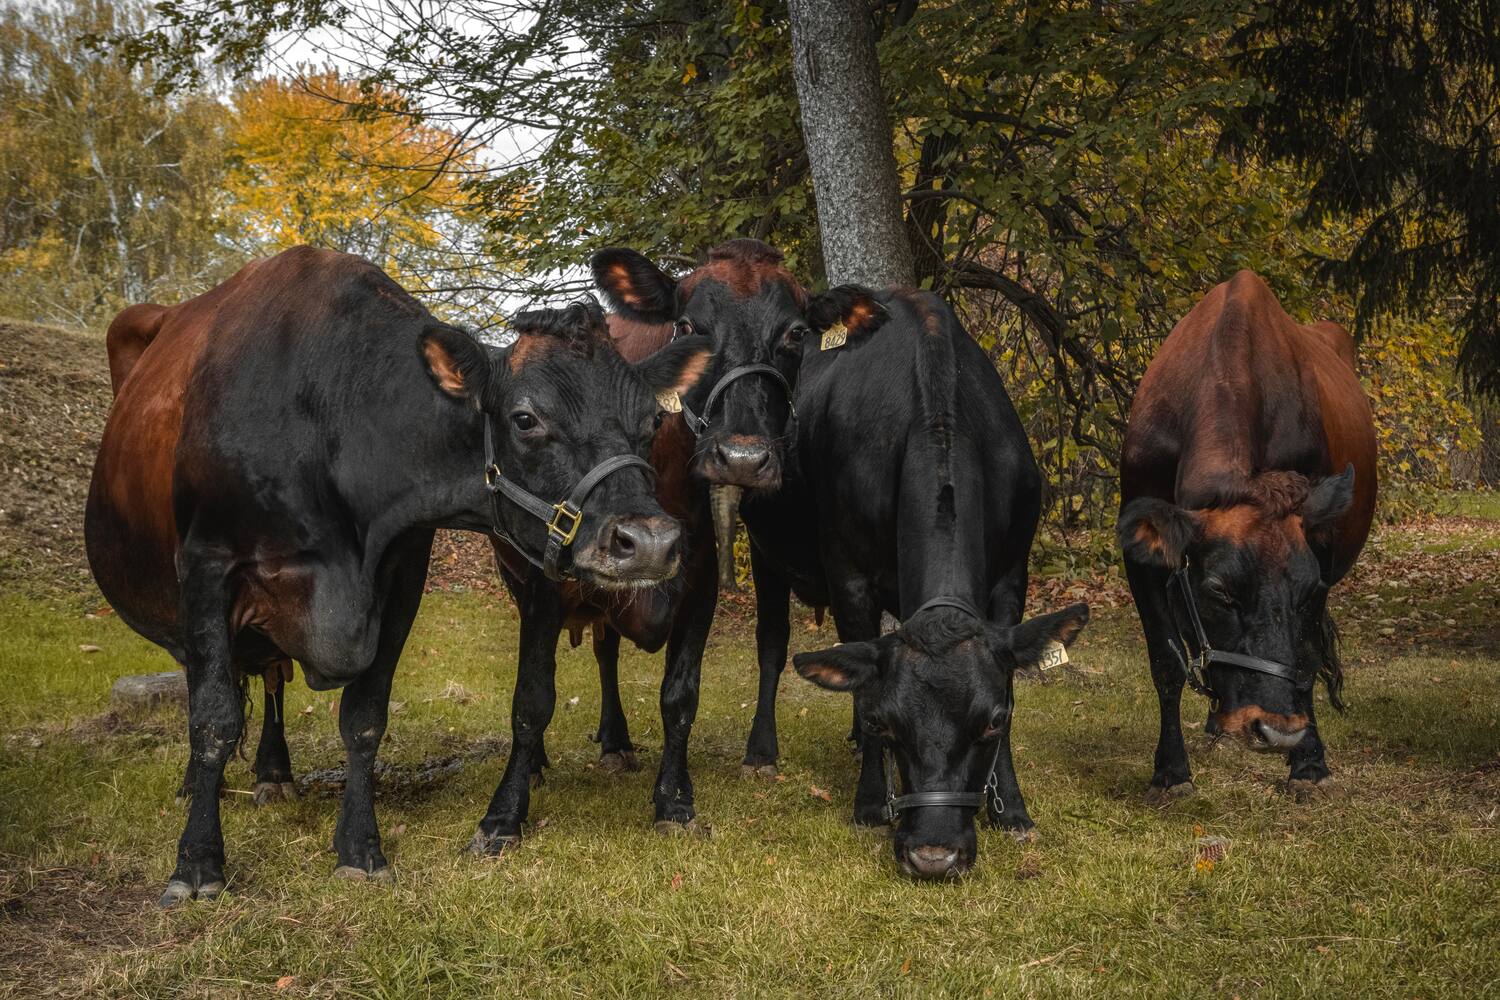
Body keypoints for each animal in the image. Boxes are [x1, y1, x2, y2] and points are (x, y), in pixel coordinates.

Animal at [85, 246, 708, 905]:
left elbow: (364, 720)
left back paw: (273, 771)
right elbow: (211, 718)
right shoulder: (207, 565)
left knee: (273, 677)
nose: (649, 541)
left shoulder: (401, 575)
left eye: (650, 422)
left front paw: (360, 848)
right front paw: (198, 863)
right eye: (525, 418)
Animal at [1116, 270, 1377, 802]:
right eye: (1218, 591)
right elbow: (1167, 662)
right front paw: (1171, 772)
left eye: (1308, 591)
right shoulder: (1142, 555)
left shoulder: (1320, 553)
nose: (1275, 729)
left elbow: (1305, 657)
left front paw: (1308, 763)